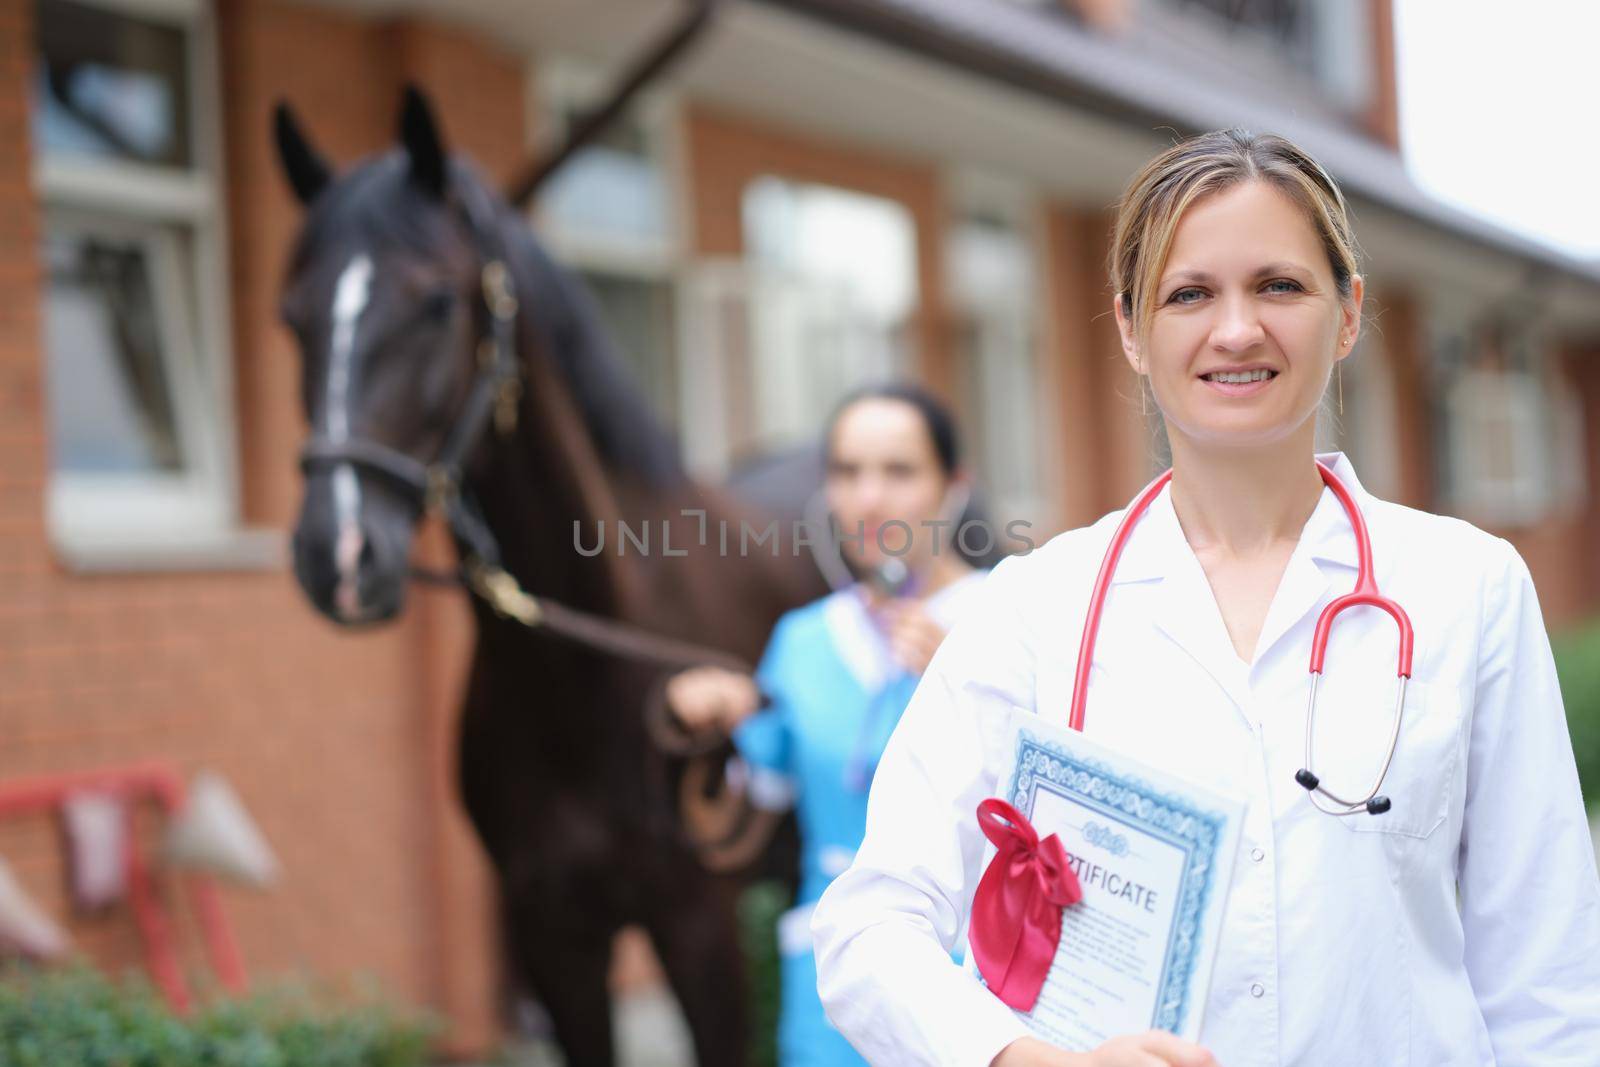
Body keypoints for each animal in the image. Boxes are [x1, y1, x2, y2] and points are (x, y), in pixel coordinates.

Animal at [273, 87, 819, 1062]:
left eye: (437, 301)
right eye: (291, 316)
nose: (338, 553)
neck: (589, 672)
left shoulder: (698, 929)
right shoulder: (554, 935)